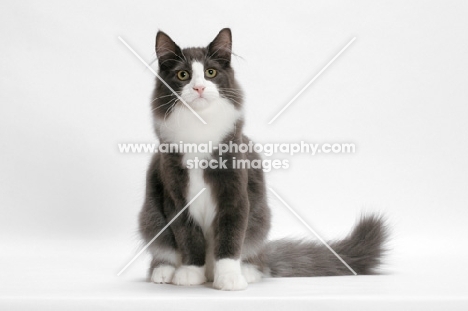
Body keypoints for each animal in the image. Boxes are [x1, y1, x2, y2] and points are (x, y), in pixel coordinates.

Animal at [137, 28, 386, 292]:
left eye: (210, 72)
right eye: (183, 75)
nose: (199, 88)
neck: (199, 129)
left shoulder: (235, 194)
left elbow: (229, 239)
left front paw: (229, 278)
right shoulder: (176, 198)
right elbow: (188, 238)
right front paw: (189, 274)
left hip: (259, 222)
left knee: (254, 258)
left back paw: (246, 272)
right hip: (152, 219)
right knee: (163, 252)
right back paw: (165, 271)